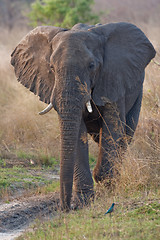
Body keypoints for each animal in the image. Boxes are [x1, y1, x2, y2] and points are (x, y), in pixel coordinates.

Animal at [10, 22, 156, 210]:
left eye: (91, 65)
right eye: (51, 68)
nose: (65, 208)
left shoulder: (114, 78)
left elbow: (113, 126)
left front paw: (107, 185)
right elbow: (78, 132)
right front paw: (83, 202)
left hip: (138, 92)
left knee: (125, 135)